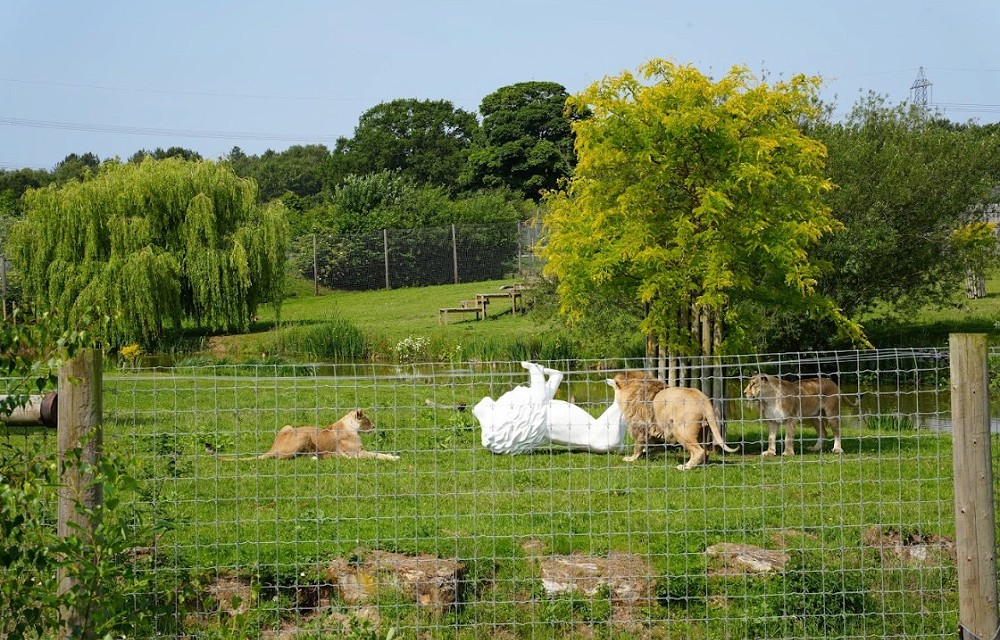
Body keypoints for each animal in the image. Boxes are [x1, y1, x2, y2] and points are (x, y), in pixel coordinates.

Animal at [222, 409, 400, 461]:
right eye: (367, 420)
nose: (375, 427)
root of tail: (273, 448)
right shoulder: (357, 453)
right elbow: (377, 454)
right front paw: (394, 458)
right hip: (304, 435)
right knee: (284, 458)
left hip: (288, 426)